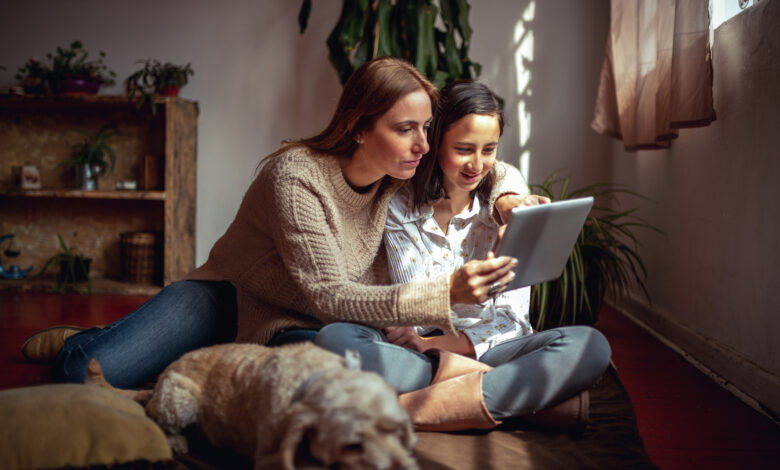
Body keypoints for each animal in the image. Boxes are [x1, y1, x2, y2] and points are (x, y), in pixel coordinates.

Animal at [87, 342, 420, 470]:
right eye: (353, 445)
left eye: (397, 431)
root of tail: (156, 383)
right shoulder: (270, 456)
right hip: (180, 401)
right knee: (158, 420)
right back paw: (177, 442)